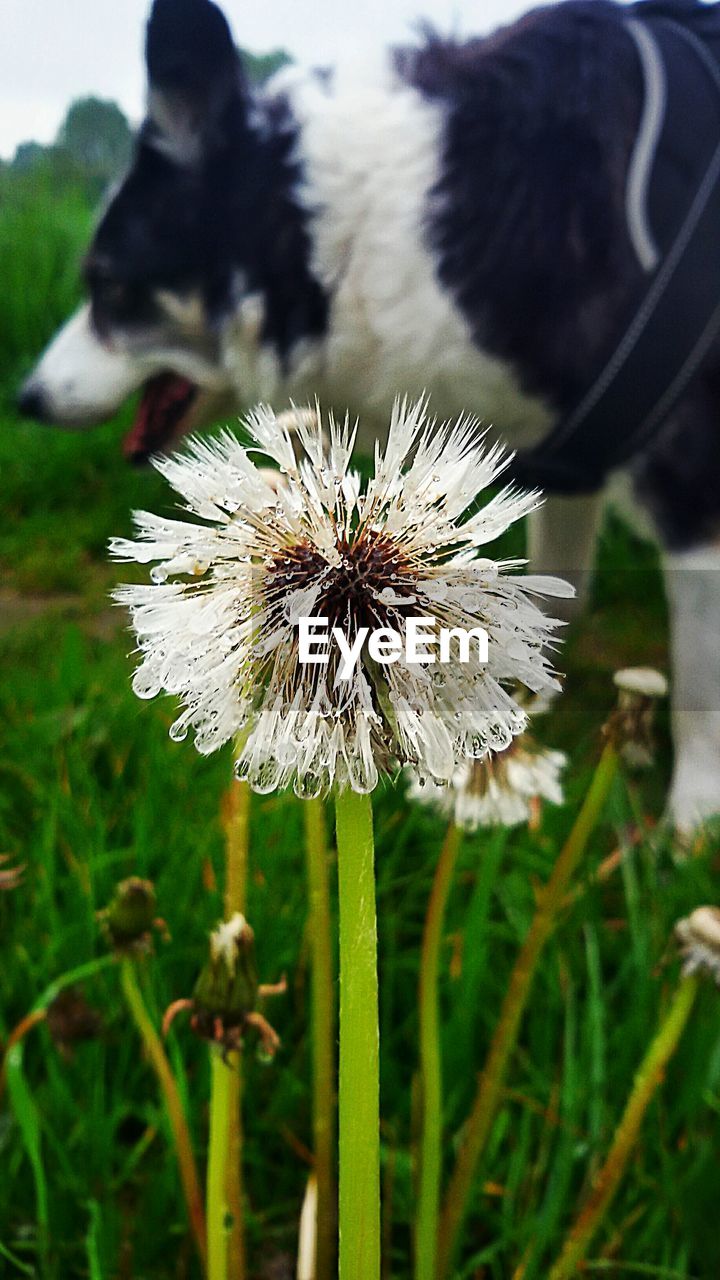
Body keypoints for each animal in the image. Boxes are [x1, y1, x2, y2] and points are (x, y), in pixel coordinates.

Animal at [18, 0, 720, 829]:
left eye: (110, 286)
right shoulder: (566, 466)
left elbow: (702, 673)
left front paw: (692, 822)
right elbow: (552, 594)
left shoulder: (692, 476)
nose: (26, 398)